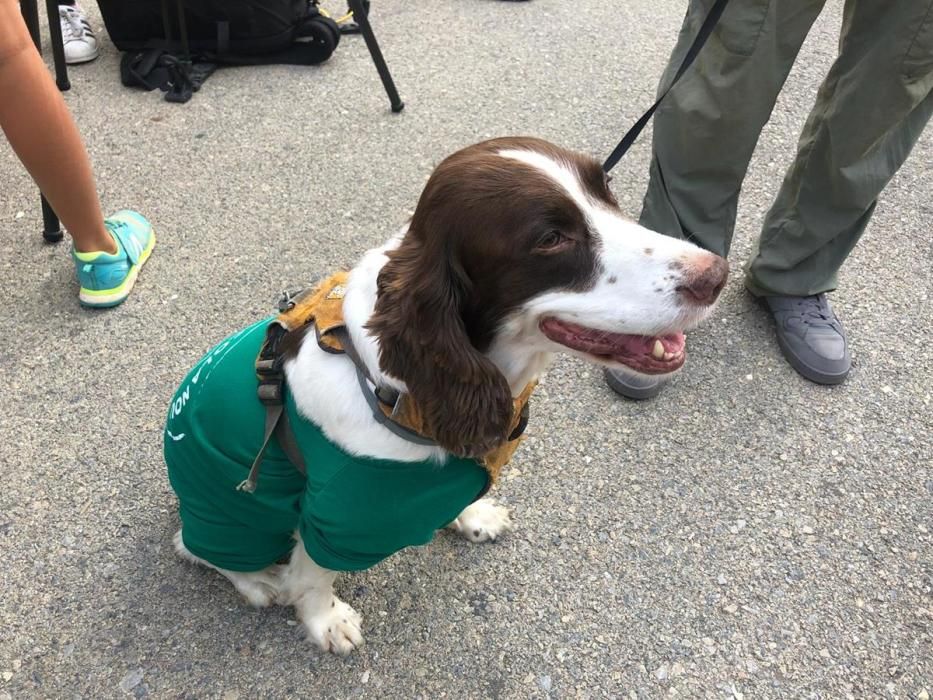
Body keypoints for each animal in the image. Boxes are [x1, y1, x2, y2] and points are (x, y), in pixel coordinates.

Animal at [162, 138, 728, 656]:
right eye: (550, 238)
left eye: (605, 189)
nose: (716, 275)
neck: (398, 392)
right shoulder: (341, 518)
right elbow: (314, 574)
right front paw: (326, 622)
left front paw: (474, 517)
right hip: (234, 517)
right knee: (196, 549)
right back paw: (259, 582)